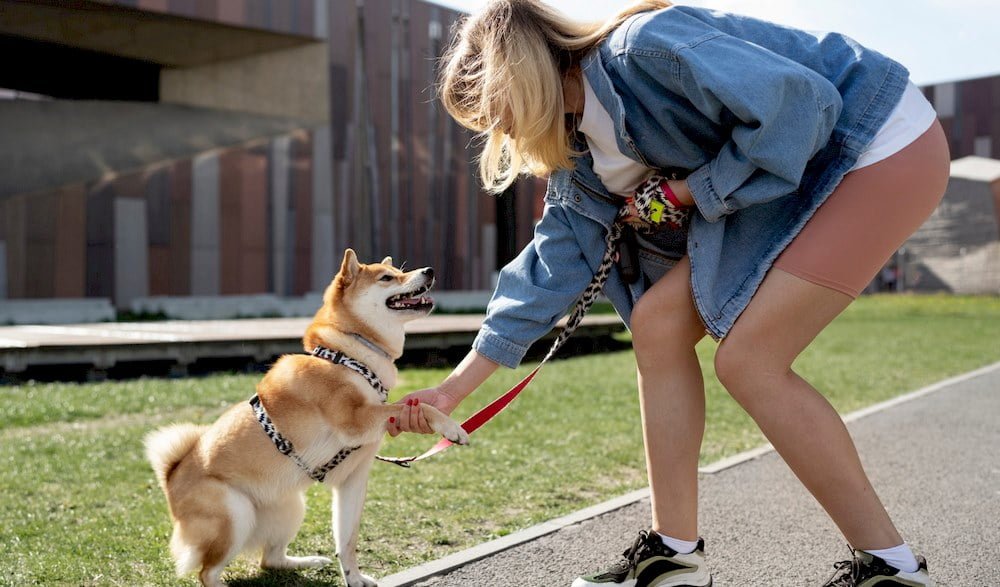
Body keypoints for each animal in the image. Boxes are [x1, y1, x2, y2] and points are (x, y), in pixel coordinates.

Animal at [146, 250, 470, 587]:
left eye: (398, 272)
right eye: (387, 278)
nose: (429, 270)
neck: (349, 355)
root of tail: (170, 477)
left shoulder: (353, 481)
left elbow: (347, 541)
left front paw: (354, 578)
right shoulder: (355, 421)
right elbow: (413, 407)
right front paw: (452, 427)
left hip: (291, 508)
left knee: (269, 560)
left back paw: (308, 561)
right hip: (236, 514)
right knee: (207, 572)